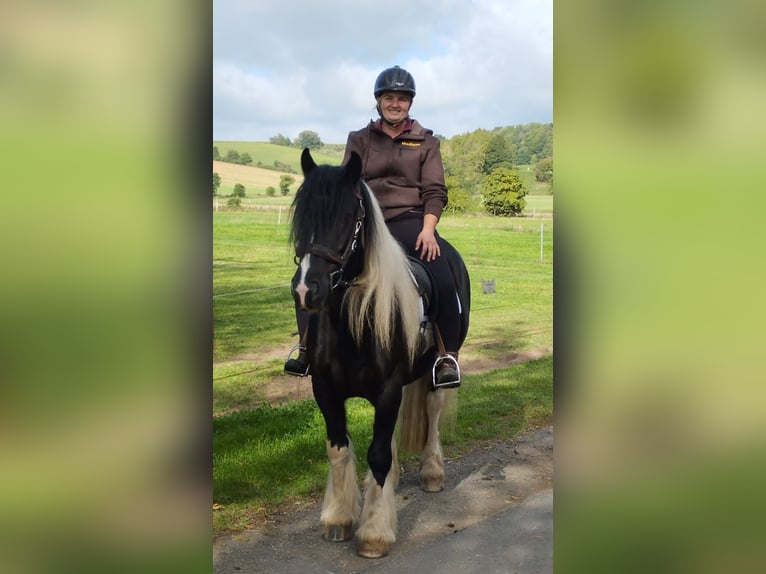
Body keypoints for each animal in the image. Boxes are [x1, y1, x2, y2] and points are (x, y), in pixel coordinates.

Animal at [289, 148, 470, 558]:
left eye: (348, 217)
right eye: (300, 218)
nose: (307, 290)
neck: (354, 322)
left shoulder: (387, 390)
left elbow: (377, 455)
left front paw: (374, 533)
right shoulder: (326, 391)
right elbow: (339, 448)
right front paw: (340, 518)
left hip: (434, 372)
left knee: (433, 411)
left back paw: (431, 472)